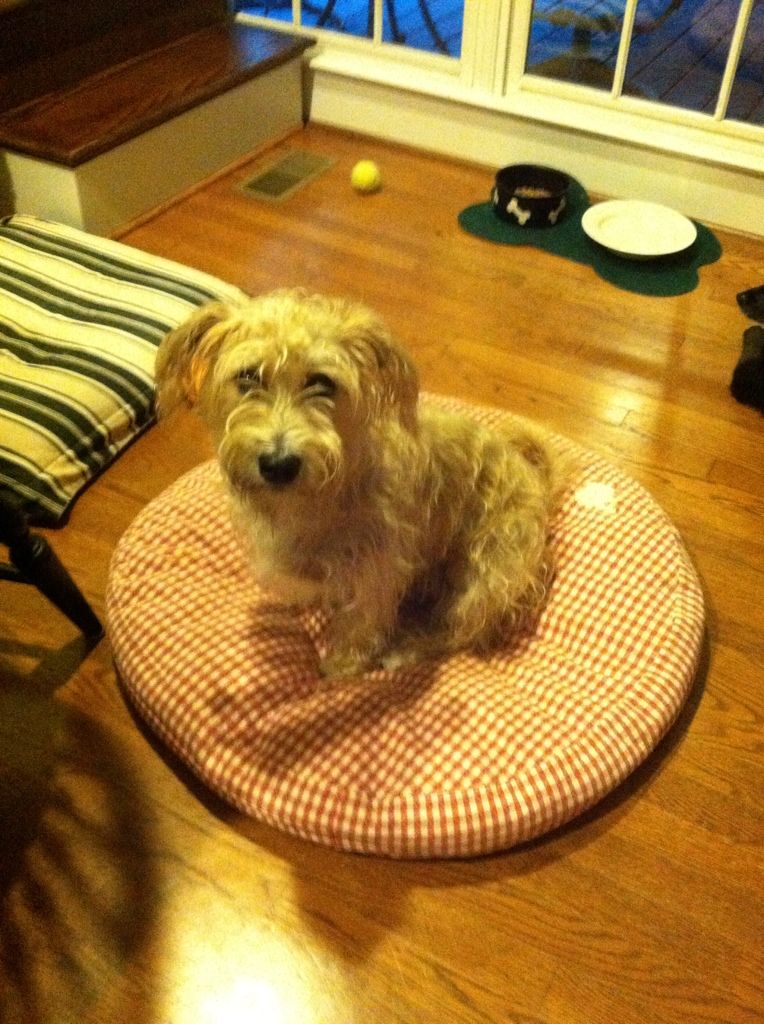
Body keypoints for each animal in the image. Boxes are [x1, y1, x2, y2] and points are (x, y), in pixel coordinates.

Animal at [154, 288, 561, 679]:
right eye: (248, 376)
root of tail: (537, 482)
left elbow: (360, 626)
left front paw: (340, 670)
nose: (279, 465)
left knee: (459, 631)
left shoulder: (376, 573)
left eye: (322, 382)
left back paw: (405, 651)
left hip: (487, 580)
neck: (324, 494)